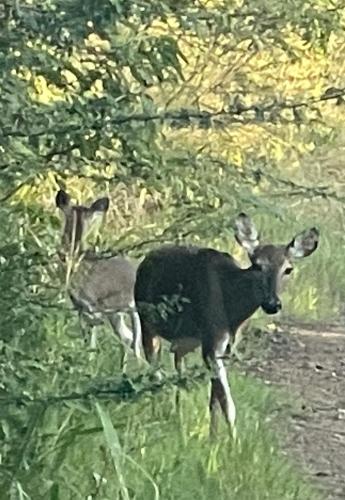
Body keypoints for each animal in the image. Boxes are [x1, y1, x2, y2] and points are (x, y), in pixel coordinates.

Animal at [55, 188, 142, 368]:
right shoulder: (81, 307)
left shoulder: (89, 306)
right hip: (121, 311)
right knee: (130, 337)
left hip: (118, 308)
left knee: (133, 340)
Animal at [134, 213, 318, 436]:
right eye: (257, 265)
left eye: (288, 269)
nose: (272, 304)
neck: (232, 310)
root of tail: (144, 260)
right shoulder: (212, 343)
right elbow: (228, 404)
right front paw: (233, 441)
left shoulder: (224, 347)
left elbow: (214, 401)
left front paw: (213, 438)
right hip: (146, 321)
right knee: (154, 369)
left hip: (186, 340)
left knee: (178, 366)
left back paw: (178, 417)